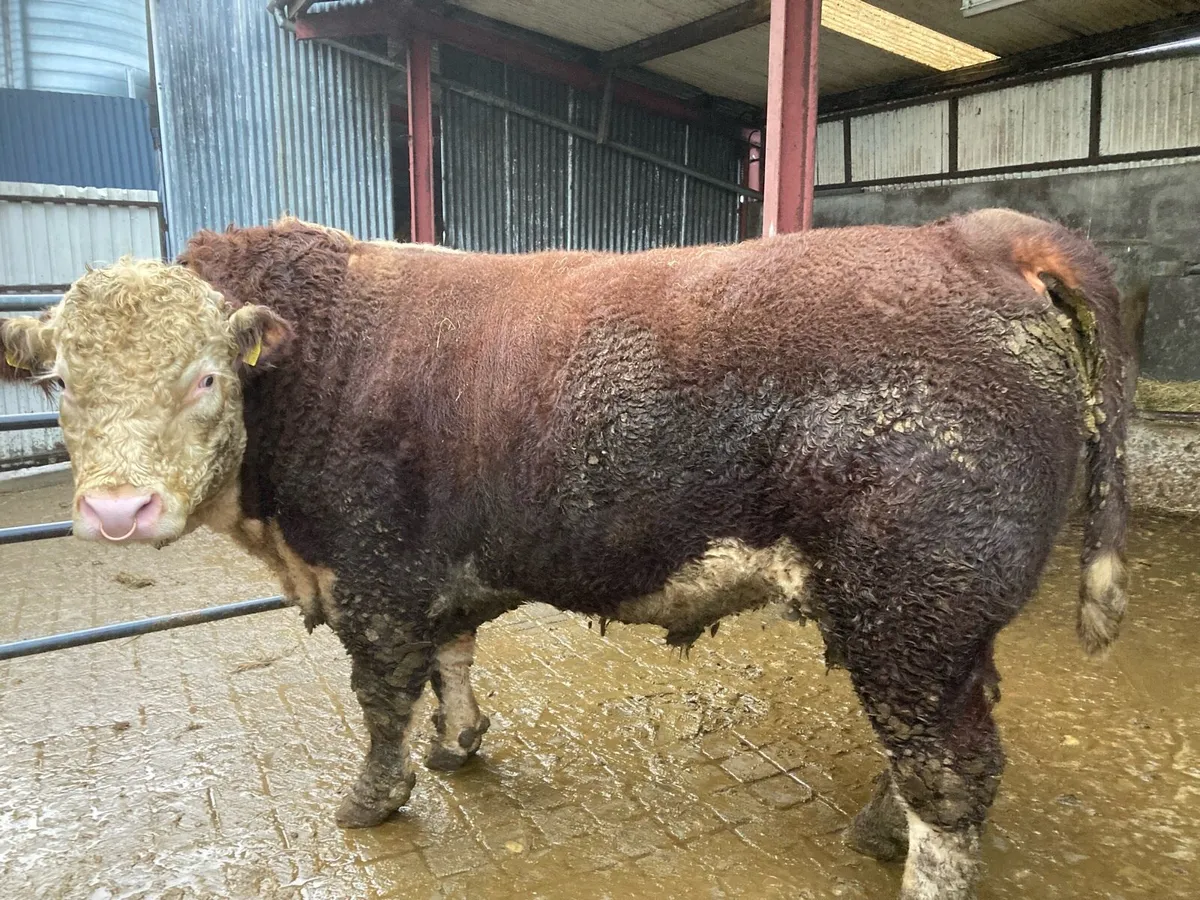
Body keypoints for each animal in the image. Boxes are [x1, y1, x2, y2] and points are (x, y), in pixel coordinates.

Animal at [0, 209, 1131, 900]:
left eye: (204, 377)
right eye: (60, 384)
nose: (117, 509)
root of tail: (973, 237)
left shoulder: (373, 577)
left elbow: (381, 701)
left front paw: (373, 800)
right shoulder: (438, 572)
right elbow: (453, 662)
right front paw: (458, 744)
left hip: (911, 608)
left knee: (952, 776)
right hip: (939, 625)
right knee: (943, 747)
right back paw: (877, 827)